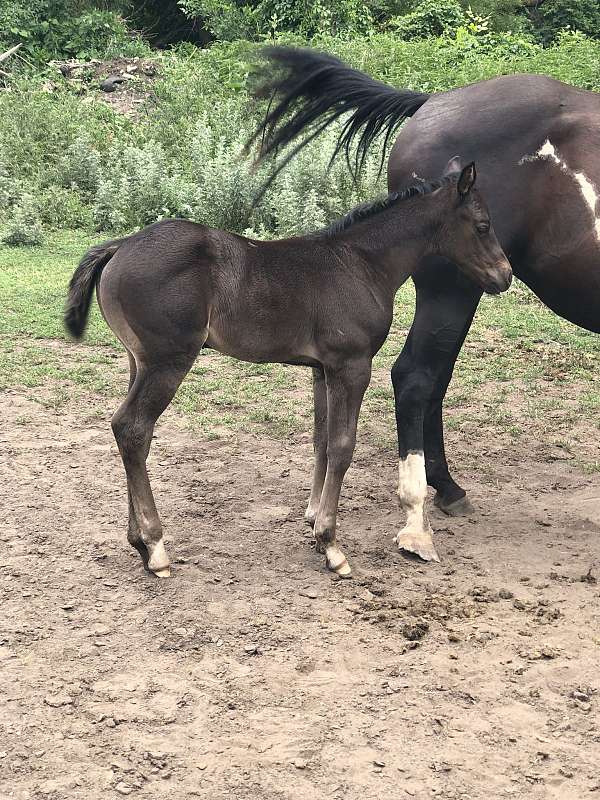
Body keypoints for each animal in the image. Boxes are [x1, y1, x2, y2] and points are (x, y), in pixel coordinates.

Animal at [64, 162, 511, 579]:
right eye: (483, 225)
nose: (504, 275)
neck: (361, 264)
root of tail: (120, 246)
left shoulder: (322, 369)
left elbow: (321, 441)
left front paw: (313, 517)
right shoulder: (352, 365)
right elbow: (343, 446)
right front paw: (331, 545)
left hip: (137, 361)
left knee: (128, 432)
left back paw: (139, 543)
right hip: (168, 360)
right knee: (134, 428)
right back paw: (156, 547)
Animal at [249, 46, 600, 562]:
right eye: (481, 224)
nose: (504, 274)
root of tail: (431, 102)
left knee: (433, 380)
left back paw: (447, 491)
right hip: (450, 290)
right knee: (416, 378)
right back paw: (416, 522)